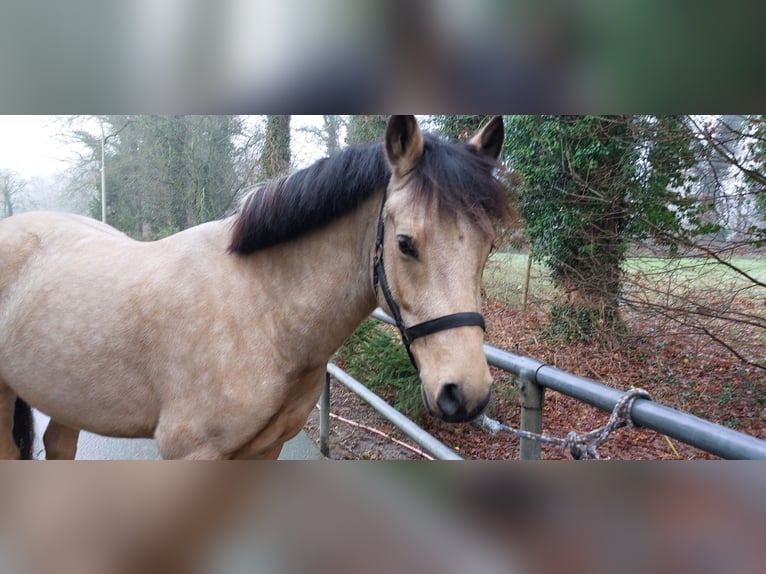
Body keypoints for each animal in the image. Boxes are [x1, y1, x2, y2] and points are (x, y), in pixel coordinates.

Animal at [0, 115, 510, 462]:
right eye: (405, 243)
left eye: (489, 246)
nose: (466, 393)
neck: (263, 313)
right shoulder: (190, 453)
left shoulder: (265, 450)